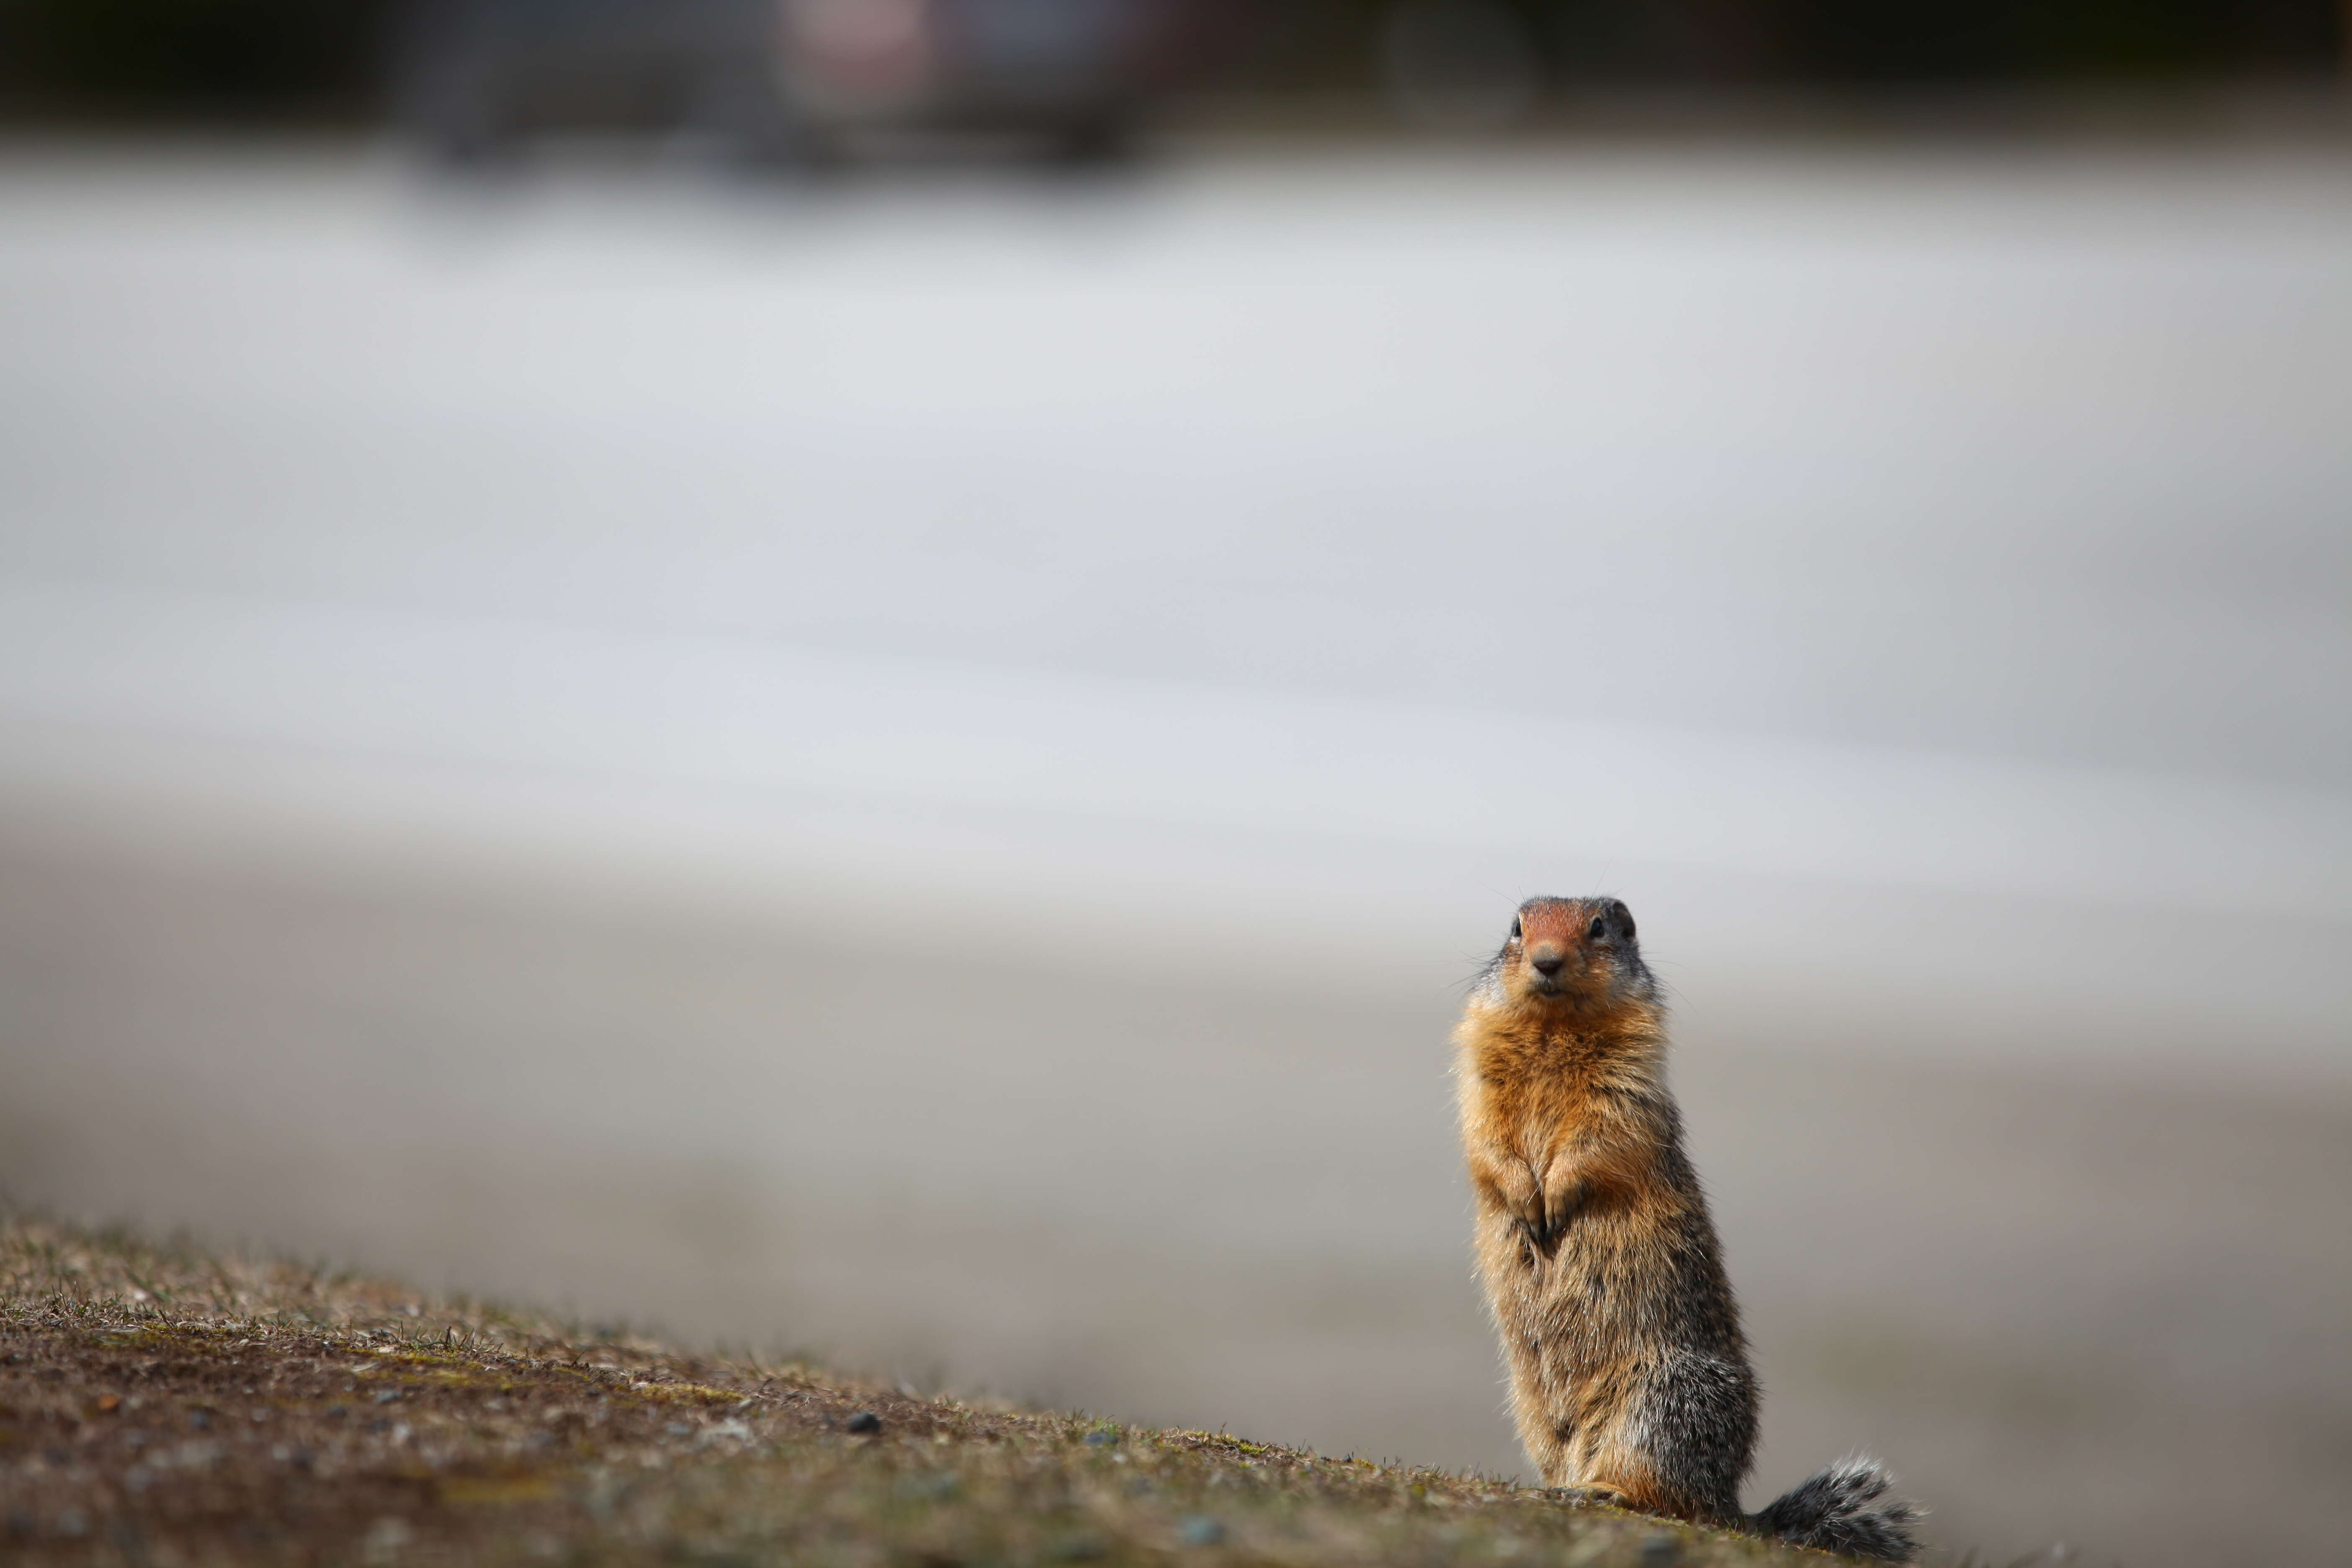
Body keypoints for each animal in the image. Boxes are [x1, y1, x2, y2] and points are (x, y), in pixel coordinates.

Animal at [1458, 893, 1919, 1561]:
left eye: (1599, 927)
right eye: (1517, 928)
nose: (1545, 961)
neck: (1554, 1026)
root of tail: (1736, 1506)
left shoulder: (1628, 1082)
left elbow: (1601, 1134)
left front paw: (1557, 1198)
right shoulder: (1479, 1064)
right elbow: (1486, 1134)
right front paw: (1527, 1201)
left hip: (1659, 1402)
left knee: (1672, 1497)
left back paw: (1606, 1490)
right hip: (1534, 1412)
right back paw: (1568, 1485)